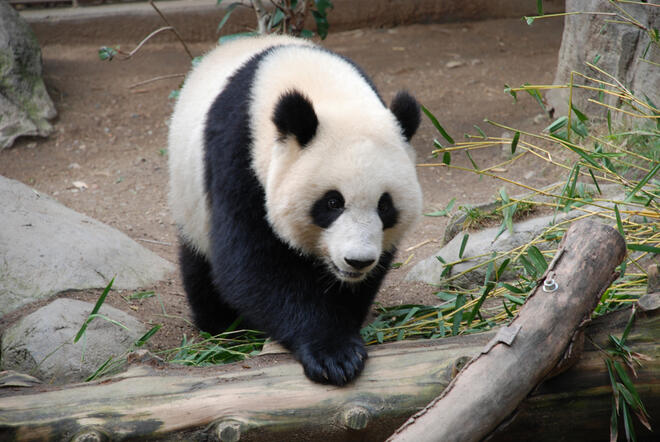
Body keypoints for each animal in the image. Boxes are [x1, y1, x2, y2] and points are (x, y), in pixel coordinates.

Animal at [168, 35, 420, 386]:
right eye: (332, 202)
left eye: (385, 205)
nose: (357, 261)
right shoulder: (239, 157)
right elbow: (253, 262)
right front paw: (332, 354)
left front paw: (344, 328)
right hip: (189, 196)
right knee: (199, 261)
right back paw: (220, 324)